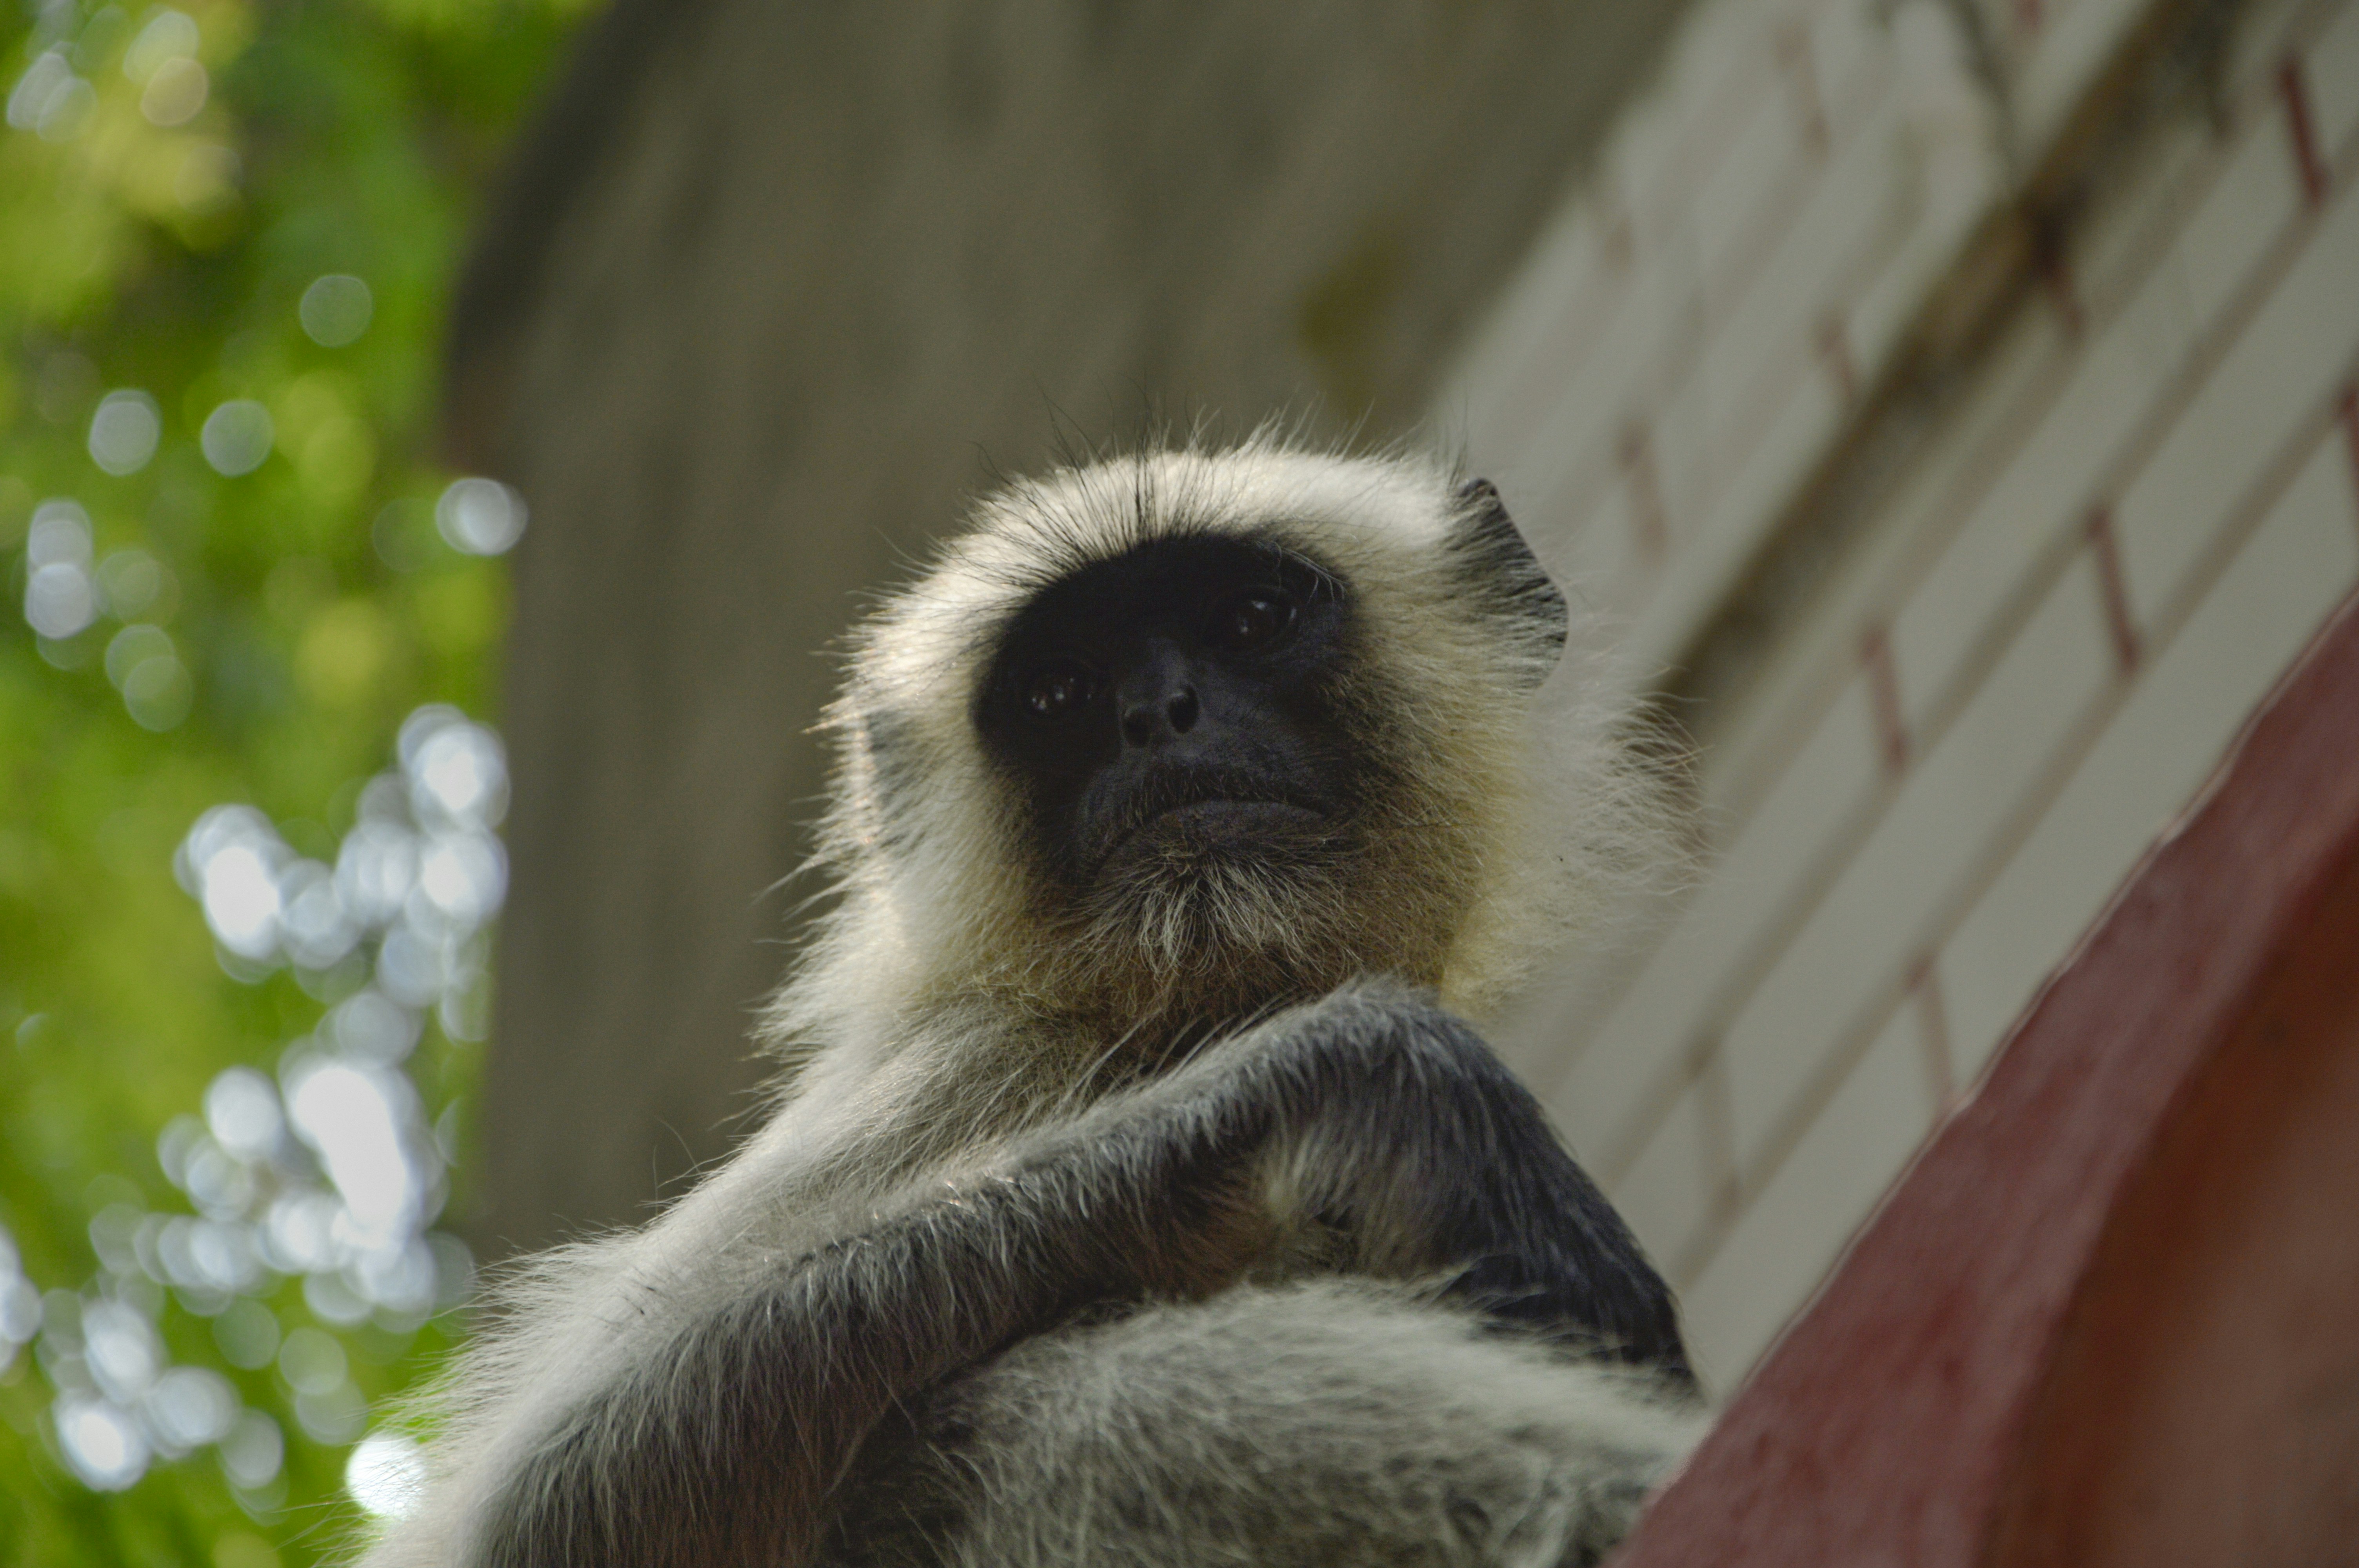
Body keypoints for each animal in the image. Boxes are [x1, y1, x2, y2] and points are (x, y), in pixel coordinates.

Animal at [362, 442, 1704, 1568]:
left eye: (1252, 618)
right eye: (1059, 692)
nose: (1157, 714)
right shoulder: (983, 1057)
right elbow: (559, 1492)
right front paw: (1391, 1074)